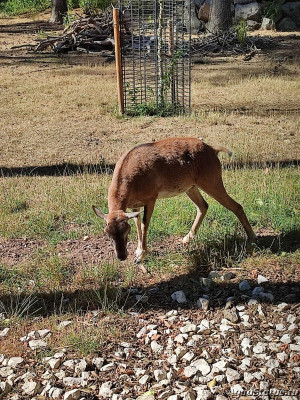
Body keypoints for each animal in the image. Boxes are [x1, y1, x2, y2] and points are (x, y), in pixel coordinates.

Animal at [93, 137, 255, 262]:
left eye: (125, 230)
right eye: (107, 232)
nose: (121, 256)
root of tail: (212, 149)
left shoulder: (151, 199)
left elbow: (145, 224)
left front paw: (140, 256)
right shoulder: (134, 205)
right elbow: (138, 224)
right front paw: (138, 252)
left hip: (212, 182)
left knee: (236, 206)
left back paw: (252, 238)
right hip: (191, 187)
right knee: (203, 206)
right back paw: (186, 239)